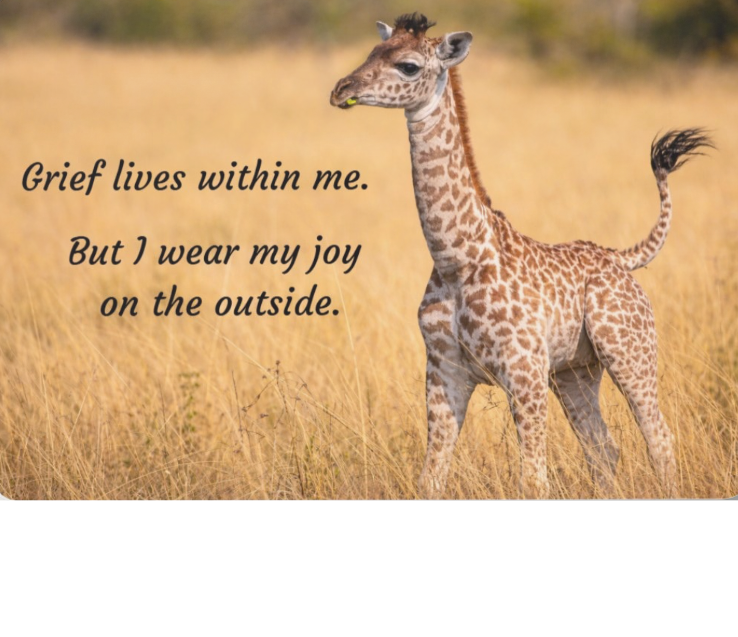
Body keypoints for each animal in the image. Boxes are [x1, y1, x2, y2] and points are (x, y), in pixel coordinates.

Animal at [330, 13, 713, 499]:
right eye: (372, 52)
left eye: (409, 66)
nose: (341, 89)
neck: (458, 258)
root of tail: (621, 258)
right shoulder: (443, 371)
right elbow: (430, 477)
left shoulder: (524, 370)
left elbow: (532, 480)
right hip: (575, 371)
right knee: (603, 448)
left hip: (628, 352)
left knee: (658, 437)